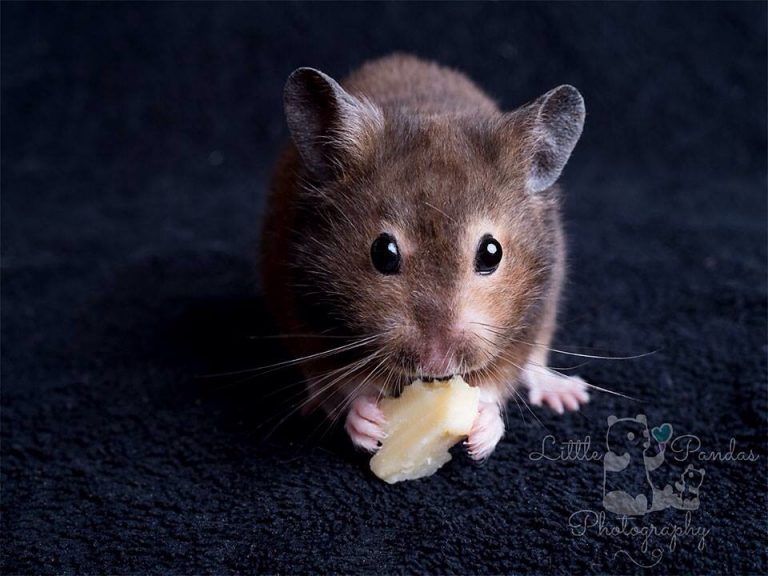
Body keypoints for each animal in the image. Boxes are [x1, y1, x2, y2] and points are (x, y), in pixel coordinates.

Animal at [261, 54, 589, 459]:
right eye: (383, 253)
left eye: (491, 253)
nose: (437, 363)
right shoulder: (304, 308)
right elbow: (343, 383)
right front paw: (367, 422)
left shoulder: (531, 316)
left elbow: (497, 383)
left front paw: (481, 432)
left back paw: (567, 395)